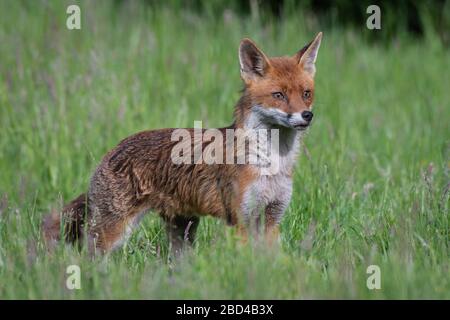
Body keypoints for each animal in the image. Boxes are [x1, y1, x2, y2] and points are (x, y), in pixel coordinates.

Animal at [42, 32, 324, 255]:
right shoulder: (240, 220)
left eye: (306, 94)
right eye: (279, 95)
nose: (307, 116)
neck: (273, 162)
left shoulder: (272, 218)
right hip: (113, 232)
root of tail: (113, 149)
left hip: (183, 232)